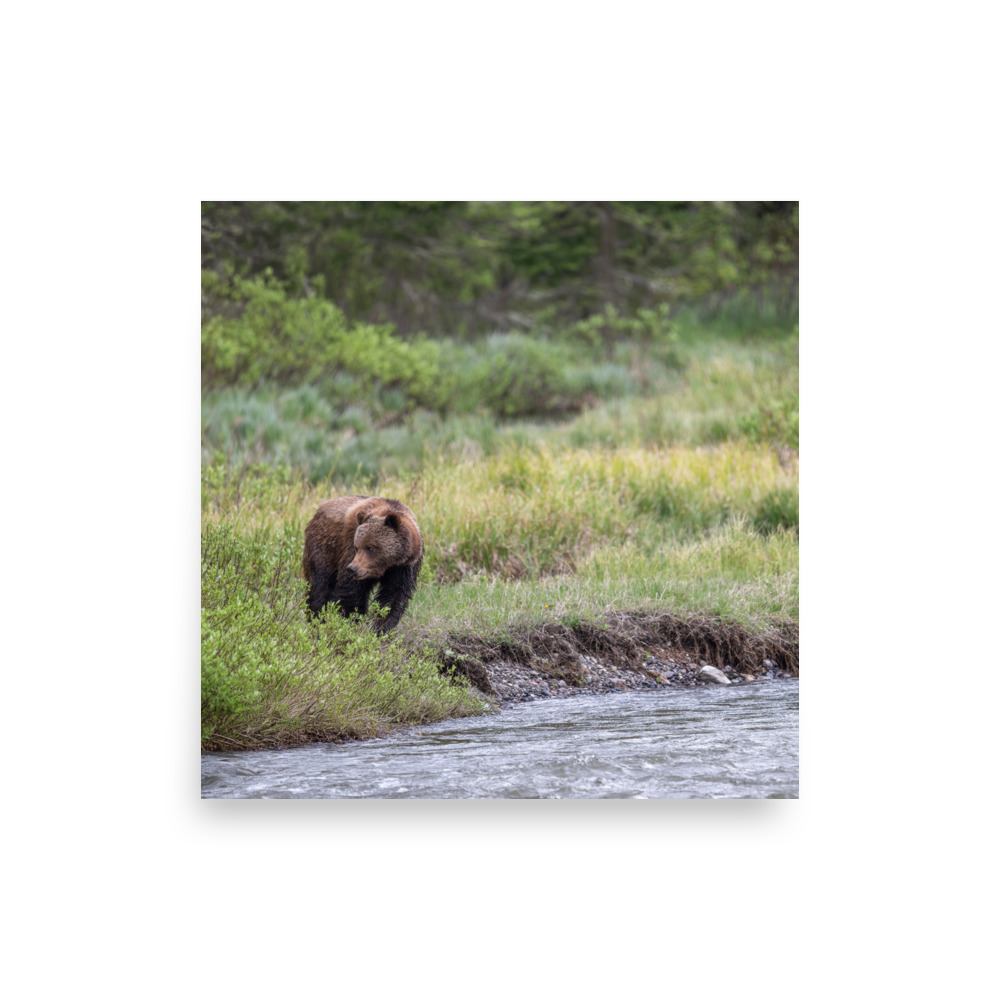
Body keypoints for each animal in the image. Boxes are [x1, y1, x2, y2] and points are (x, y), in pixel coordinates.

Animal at [302, 495, 424, 633]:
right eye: (357, 546)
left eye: (370, 547)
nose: (352, 568)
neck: (387, 565)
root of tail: (318, 510)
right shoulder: (349, 548)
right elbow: (350, 592)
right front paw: (348, 622)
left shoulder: (404, 567)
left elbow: (393, 597)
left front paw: (381, 628)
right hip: (324, 548)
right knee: (320, 585)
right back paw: (316, 620)